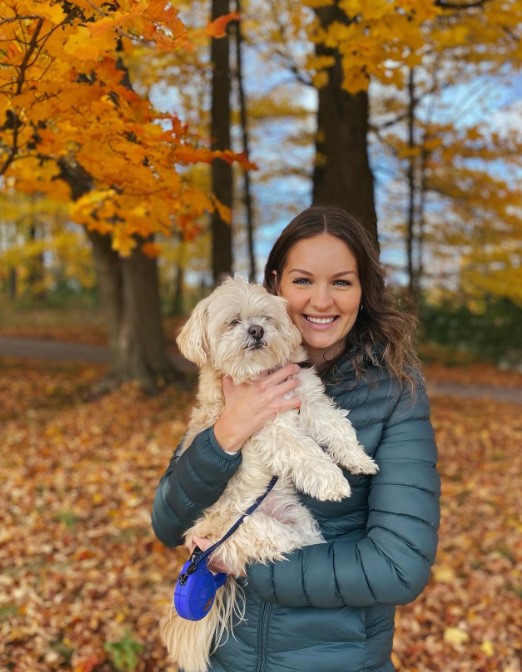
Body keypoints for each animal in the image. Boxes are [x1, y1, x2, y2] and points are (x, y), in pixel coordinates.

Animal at [160, 276, 376, 672]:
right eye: (233, 322)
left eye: (265, 318)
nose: (257, 330)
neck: (259, 374)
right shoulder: (269, 427)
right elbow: (306, 450)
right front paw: (333, 480)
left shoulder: (308, 400)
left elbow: (337, 426)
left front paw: (358, 459)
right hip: (256, 530)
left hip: (297, 519)